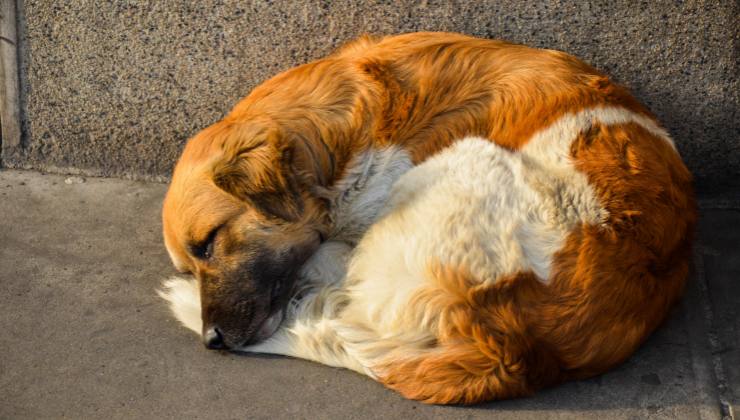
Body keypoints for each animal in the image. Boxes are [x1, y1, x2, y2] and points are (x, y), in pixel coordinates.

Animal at [159, 32, 696, 404]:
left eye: (209, 243)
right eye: (191, 261)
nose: (212, 341)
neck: (349, 127)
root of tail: (517, 347)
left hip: (468, 164)